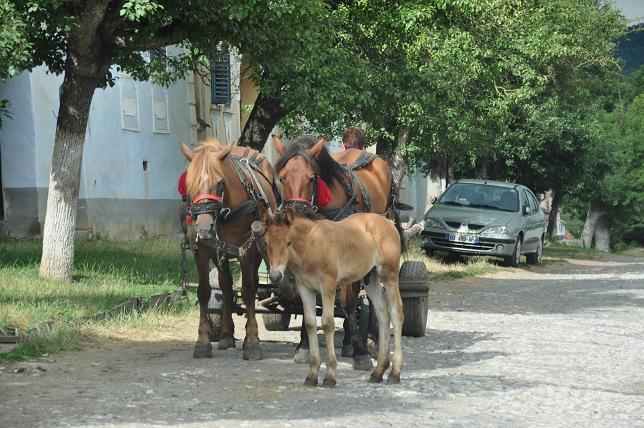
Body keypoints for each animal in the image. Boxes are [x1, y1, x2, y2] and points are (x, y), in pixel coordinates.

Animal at [180, 139, 278, 360]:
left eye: (220, 182)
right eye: (190, 184)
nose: (204, 228)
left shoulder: (246, 251)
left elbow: (248, 291)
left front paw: (252, 343)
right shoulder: (202, 251)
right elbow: (204, 291)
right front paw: (203, 342)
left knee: (252, 283)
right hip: (221, 253)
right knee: (225, 286)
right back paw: (226, 334)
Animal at [254, 207, 406, 388]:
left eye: (288, 242)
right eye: (266, 243)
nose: (275, 276)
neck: (310, 246)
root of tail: (388, 222)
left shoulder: (328, 285)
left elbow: (327, 323)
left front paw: (330, 376)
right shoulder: (305, 288)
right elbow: (310, 324)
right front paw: (312, 375)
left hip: (389, 274)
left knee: (396, 312)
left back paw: (395, 373)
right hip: (371, 278)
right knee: (383, 313)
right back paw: (378, 371)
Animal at [270, 135, 400, 370]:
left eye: (311, 177)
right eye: (282, 178)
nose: (296, 213)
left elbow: (348, 302)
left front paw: (361, 352)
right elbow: (307, 303)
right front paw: (304, 346)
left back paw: (370, 338)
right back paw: (349, 341)